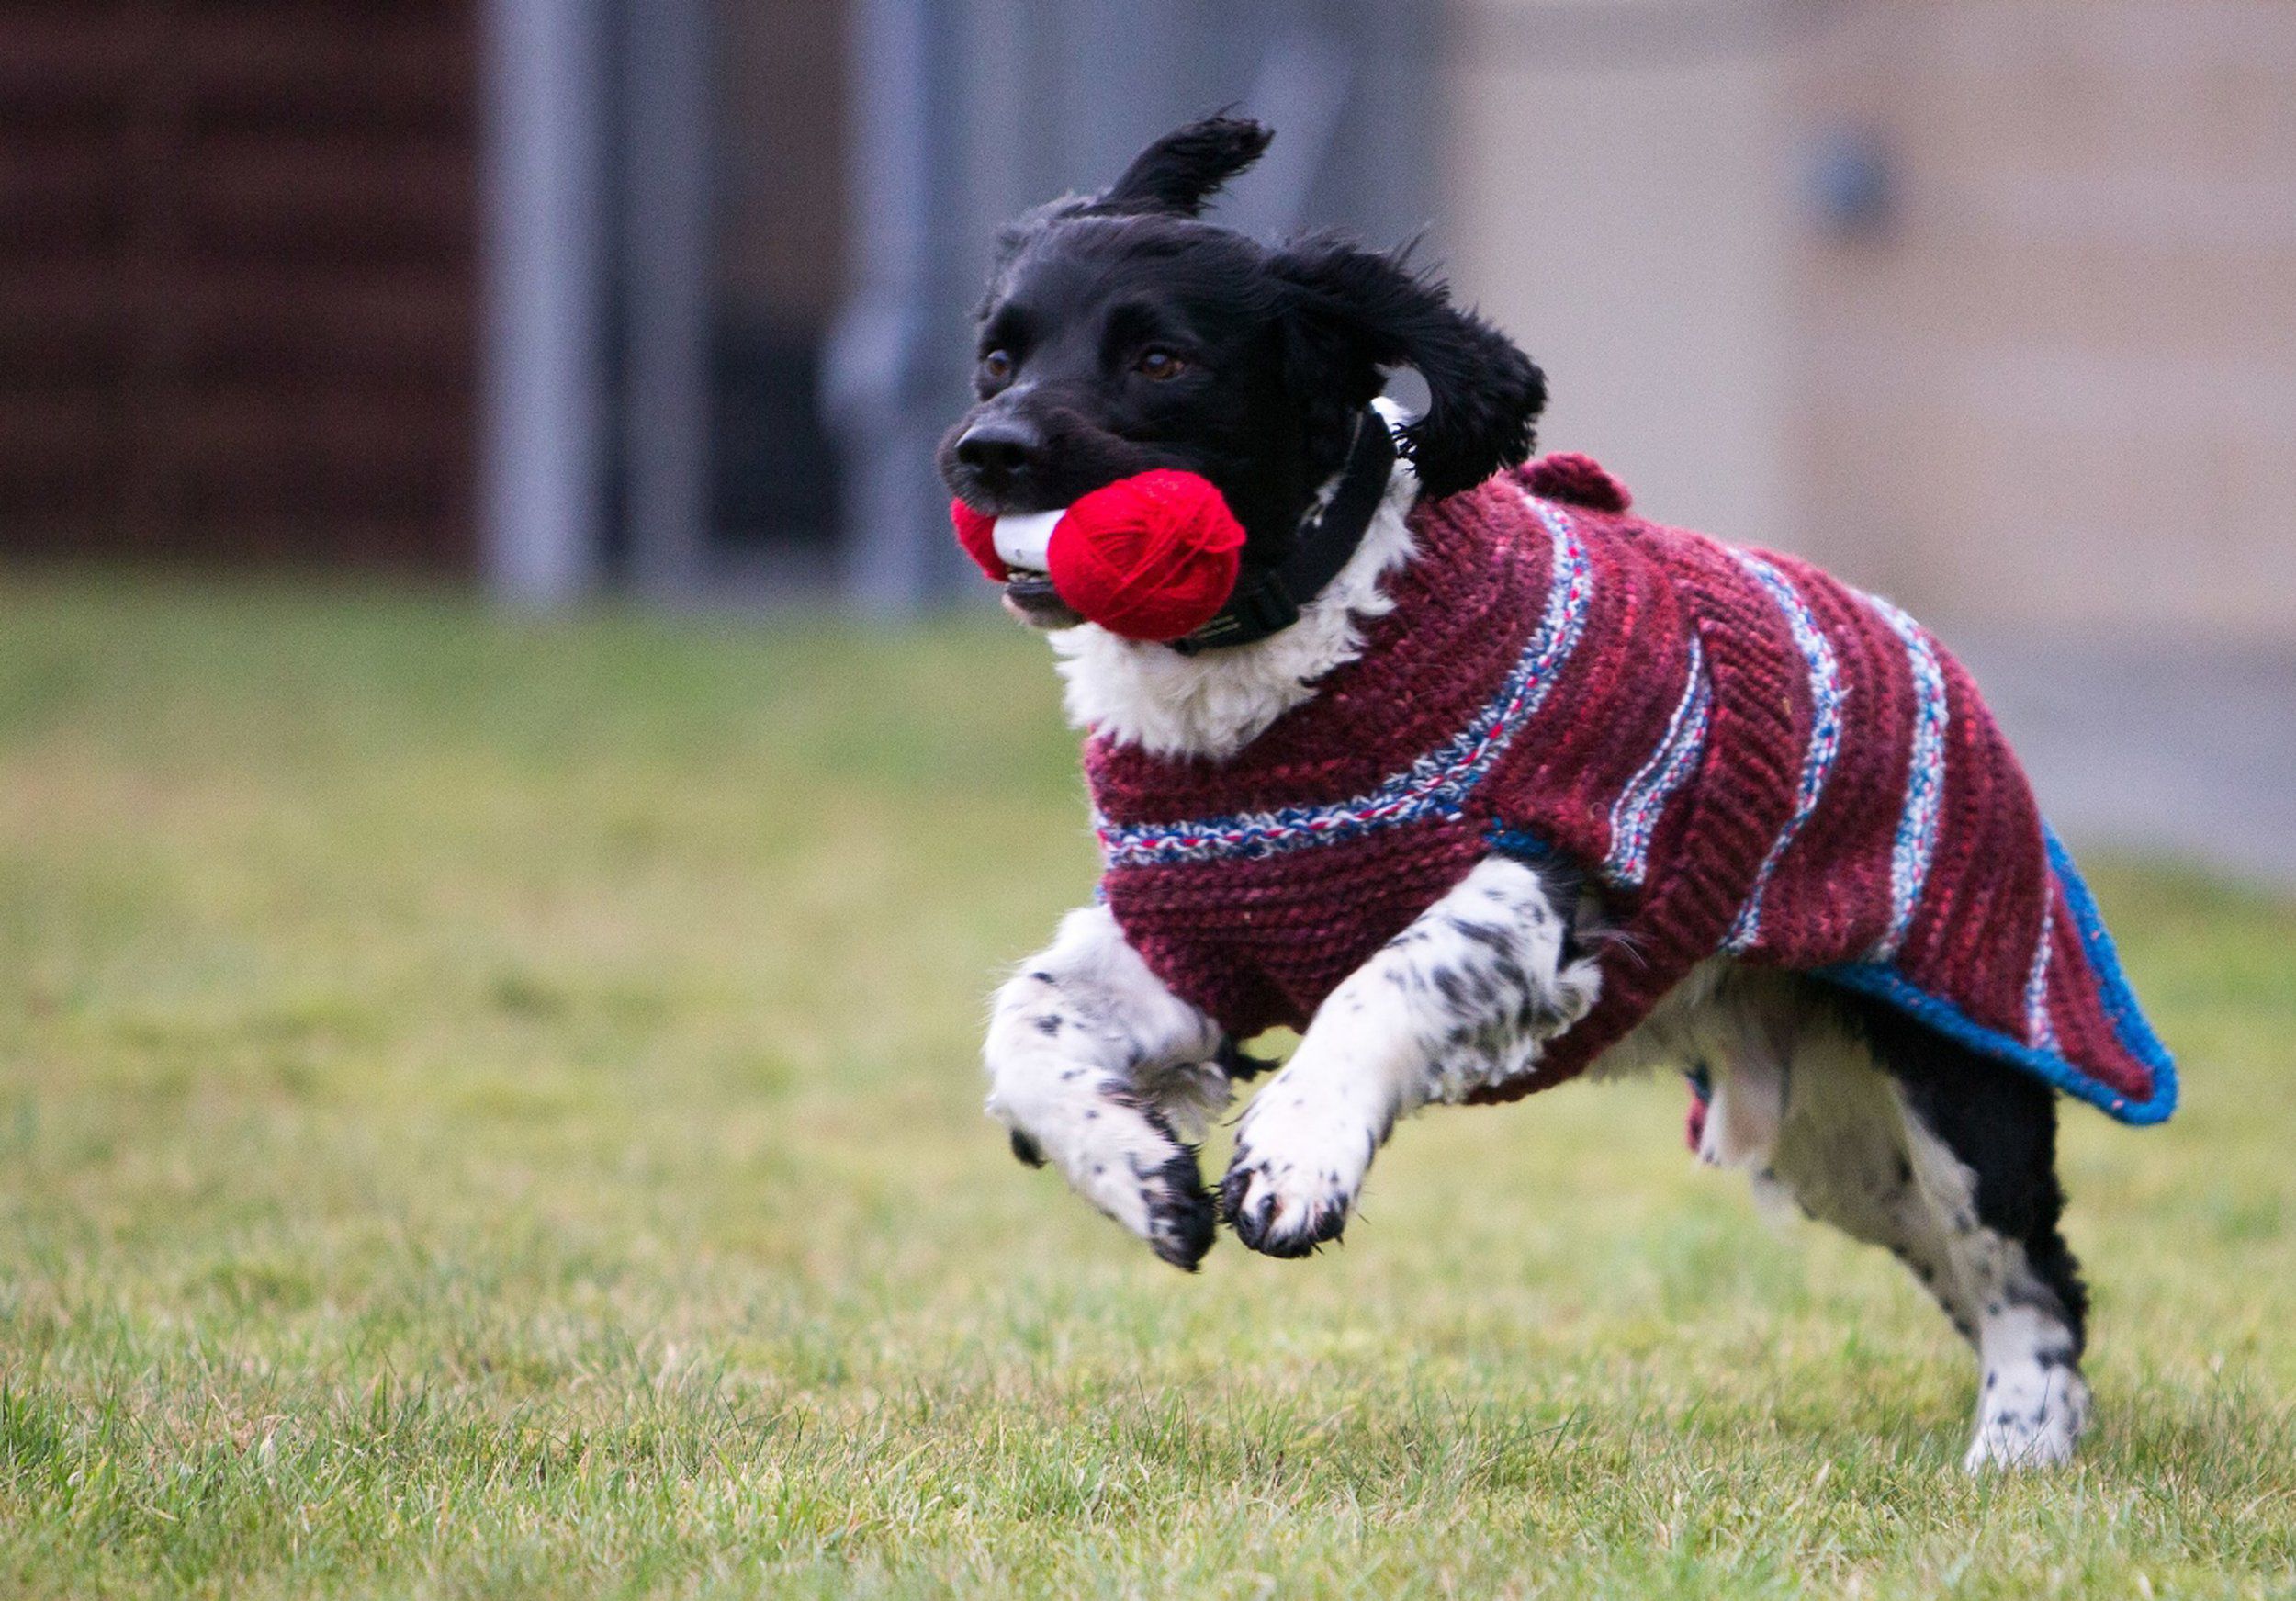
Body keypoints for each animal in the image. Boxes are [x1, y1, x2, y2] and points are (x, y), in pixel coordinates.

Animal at [923, 112, 2140, 1470]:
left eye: (1159, 357)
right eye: (997, 355)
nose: (987, 450)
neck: (1308, 643)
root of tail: (1935, 659)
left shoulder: (1554, 871)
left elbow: (1386, 980)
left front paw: (1296, 1153)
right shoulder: (1196, 935)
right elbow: (1025, 1021)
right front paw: (1138, 1173)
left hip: (1952, 1074)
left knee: (2032, 1277)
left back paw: (2019, 1445)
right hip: (1840, 1143)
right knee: (1975, 1269)